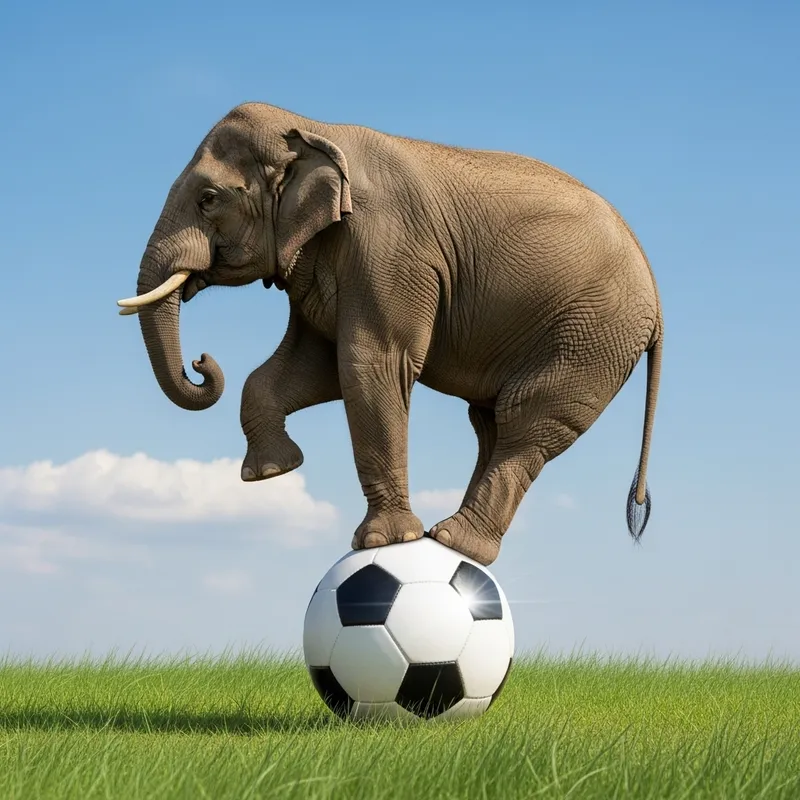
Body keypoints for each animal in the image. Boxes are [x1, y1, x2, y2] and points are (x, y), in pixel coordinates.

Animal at [117, 102, 663, 566]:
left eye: (208, 199)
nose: (200, 362)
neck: (312, 127)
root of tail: (658, 303)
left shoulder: (388, 249)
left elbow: (369, 363)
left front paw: (383, 541)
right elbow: (310, 366)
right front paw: (272, 472)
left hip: (593, 334)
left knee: (526, 420)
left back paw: (453, 541)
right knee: (490, 423)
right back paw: (448, 536)